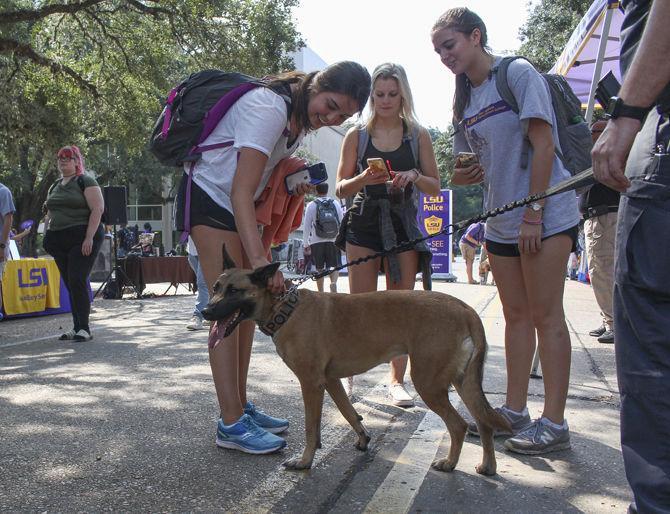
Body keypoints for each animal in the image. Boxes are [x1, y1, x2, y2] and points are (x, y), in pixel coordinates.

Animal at [202, 248, 512, 472]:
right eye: (216, 287)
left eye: (234, 291)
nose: (205, 311)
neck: (285, 309)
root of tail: (464, 309)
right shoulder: (331, 381)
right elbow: (349, 412)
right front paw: (362, 438)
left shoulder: (311, 384)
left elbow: (311, 428)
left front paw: (305, 461)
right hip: (462, 381)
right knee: (484, 422)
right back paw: (488, 466)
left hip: (429, 383)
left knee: (459, 425)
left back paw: (449, 464)